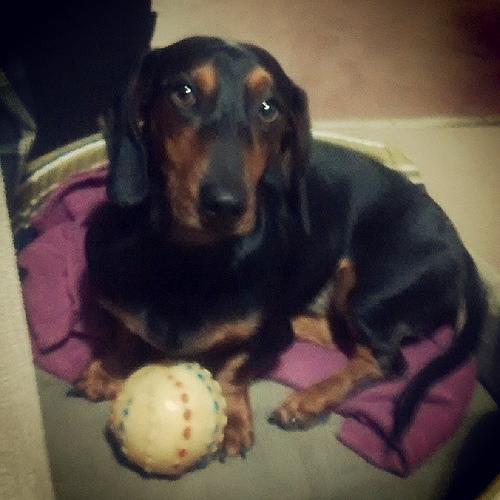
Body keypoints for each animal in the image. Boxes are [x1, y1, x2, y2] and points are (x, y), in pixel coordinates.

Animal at [78, 36, 486, 458]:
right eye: (184, 92)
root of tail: (461, 248)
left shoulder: (269, 338)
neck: (190, 259)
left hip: (370, 294)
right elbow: (124, 333)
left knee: (387, 359)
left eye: (268, 108)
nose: (225, 205)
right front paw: (106, 371)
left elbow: (233, 368)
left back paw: (308, 400)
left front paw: (233, 419)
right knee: (340, 336)